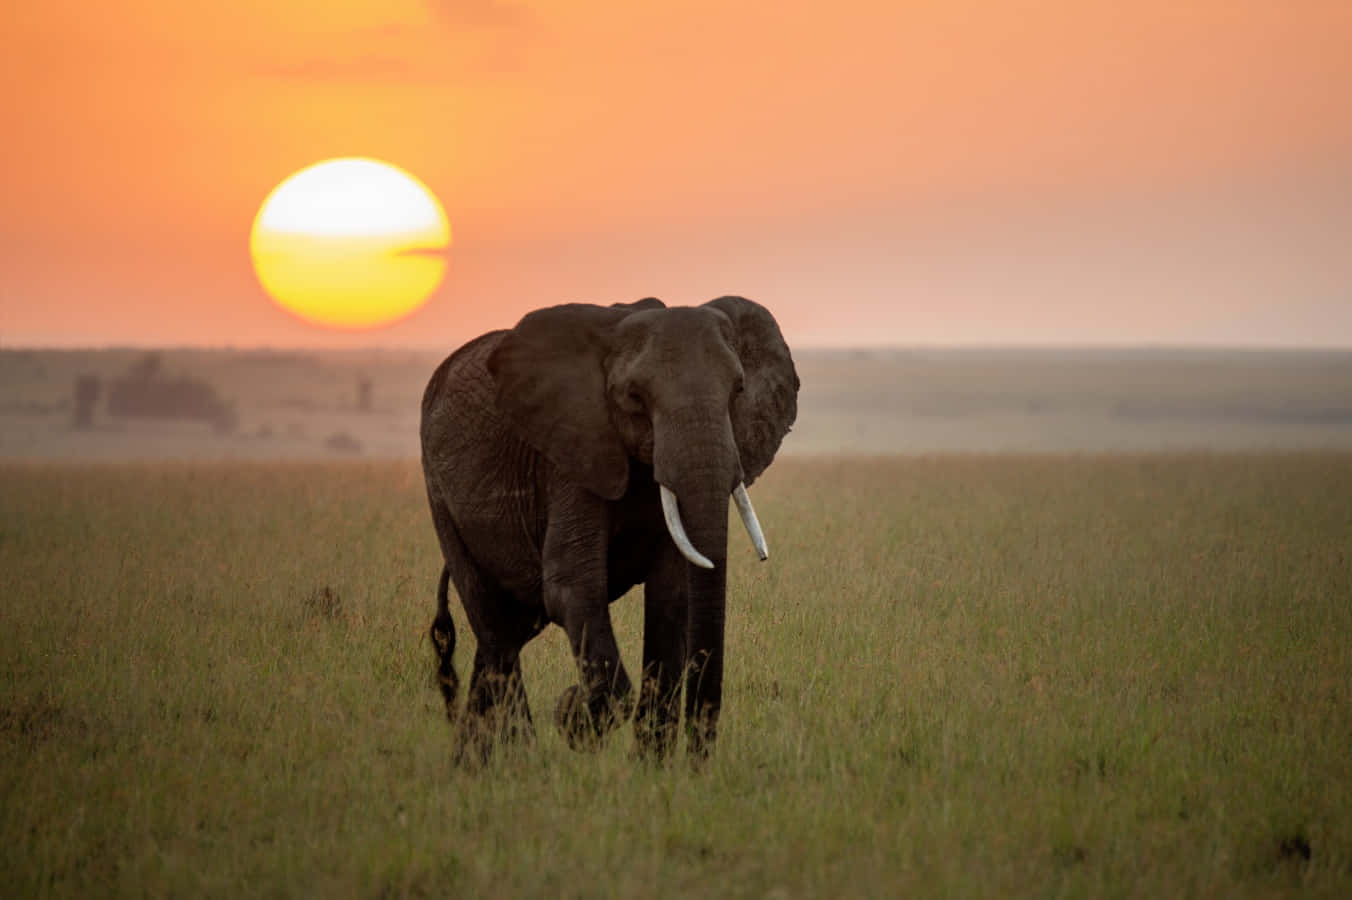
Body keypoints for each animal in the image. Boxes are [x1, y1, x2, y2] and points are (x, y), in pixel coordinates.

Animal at [420, 295, 798, 762]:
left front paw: (652, 769)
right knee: (496, 629)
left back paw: (473, 766)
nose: (698, 761)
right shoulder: (571, 452)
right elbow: (573, 588)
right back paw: (522, 760)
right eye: (635, 396)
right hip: (440, 494)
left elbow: (672, 596)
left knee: (507, 633)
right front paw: (572, 714)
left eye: (739, 390)